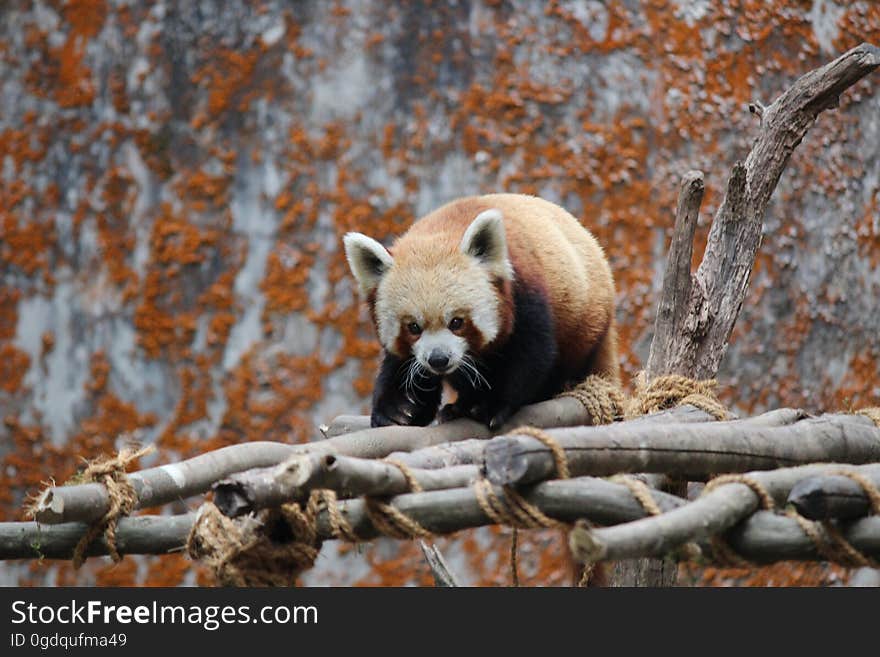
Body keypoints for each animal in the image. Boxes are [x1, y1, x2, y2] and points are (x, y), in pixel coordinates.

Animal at [344, 192, 620, 428]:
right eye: (413, 327)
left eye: (457, 322)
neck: (443, 227)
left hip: (586, 324)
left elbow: (531, 356)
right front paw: (398, 409)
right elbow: (401, 366)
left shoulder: (526, 296)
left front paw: (489, 404)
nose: (438, 359)